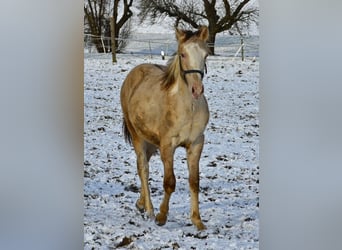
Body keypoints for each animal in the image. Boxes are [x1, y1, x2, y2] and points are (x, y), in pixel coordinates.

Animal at [120, 25, 211, 230]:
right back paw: (150, 210)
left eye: (205, 55)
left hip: (151, 142)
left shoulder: (196, 143)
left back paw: (140, 204)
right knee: (143, 168)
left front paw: (197, 220)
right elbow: (169, 182)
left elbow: (194, 181)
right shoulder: (168, 146)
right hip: (138, 137)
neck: (188, 107)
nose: (196, 89)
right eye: (182, 54)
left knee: (142, 167)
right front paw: (162, 216)